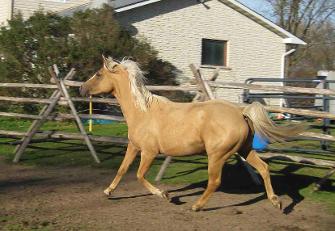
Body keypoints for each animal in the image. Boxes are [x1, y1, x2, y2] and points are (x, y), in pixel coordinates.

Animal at [80, 56, 304, 211]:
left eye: (98, 74)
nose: (82, 89)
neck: (142, 111)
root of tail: (240, 112)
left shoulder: (149, 152)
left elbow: (139, 175)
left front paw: (165, 195)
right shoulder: (134, 147)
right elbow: (122, 169)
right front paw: (108, 191)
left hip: (217, 155)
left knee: (215, 181)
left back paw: (196, 206)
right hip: (244, 149)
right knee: (264, 168)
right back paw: (276, 202)